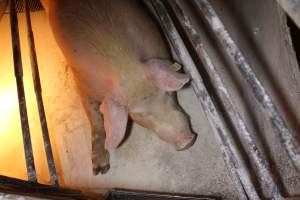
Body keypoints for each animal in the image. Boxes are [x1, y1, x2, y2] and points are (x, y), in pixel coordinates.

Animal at [41, 0, 197, 175]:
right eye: (138, 114)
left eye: (167, 94)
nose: (187, 140)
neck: (122, 66)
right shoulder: (81, 85)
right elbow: (95, 117)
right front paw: (100, 170)